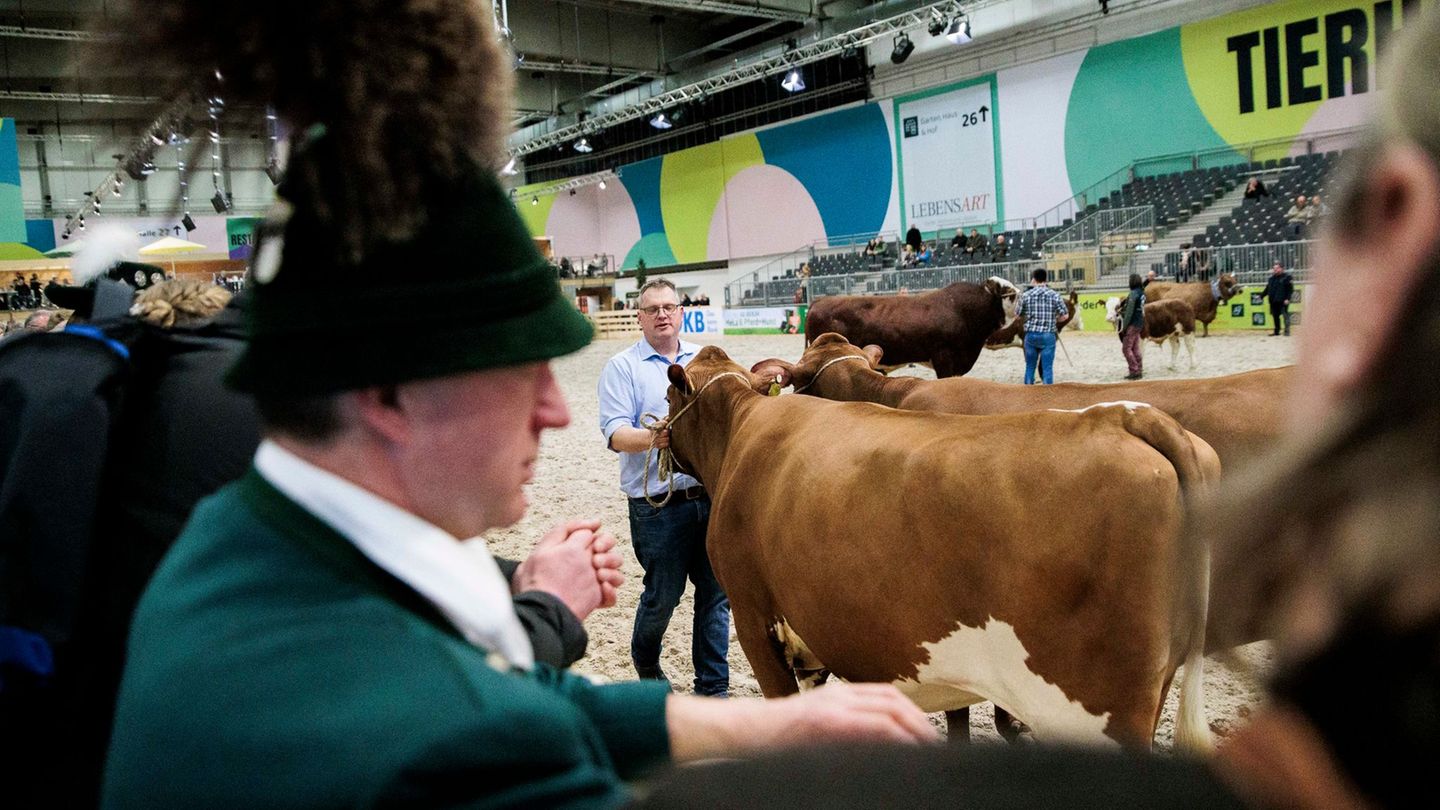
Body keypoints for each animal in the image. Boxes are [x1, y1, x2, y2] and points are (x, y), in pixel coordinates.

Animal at [659, 343, 1215, 749]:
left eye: (667, 398)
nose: (656, 432)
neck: (741, 430)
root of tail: (1126, 416)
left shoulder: (753, 617)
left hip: (1093, 710)